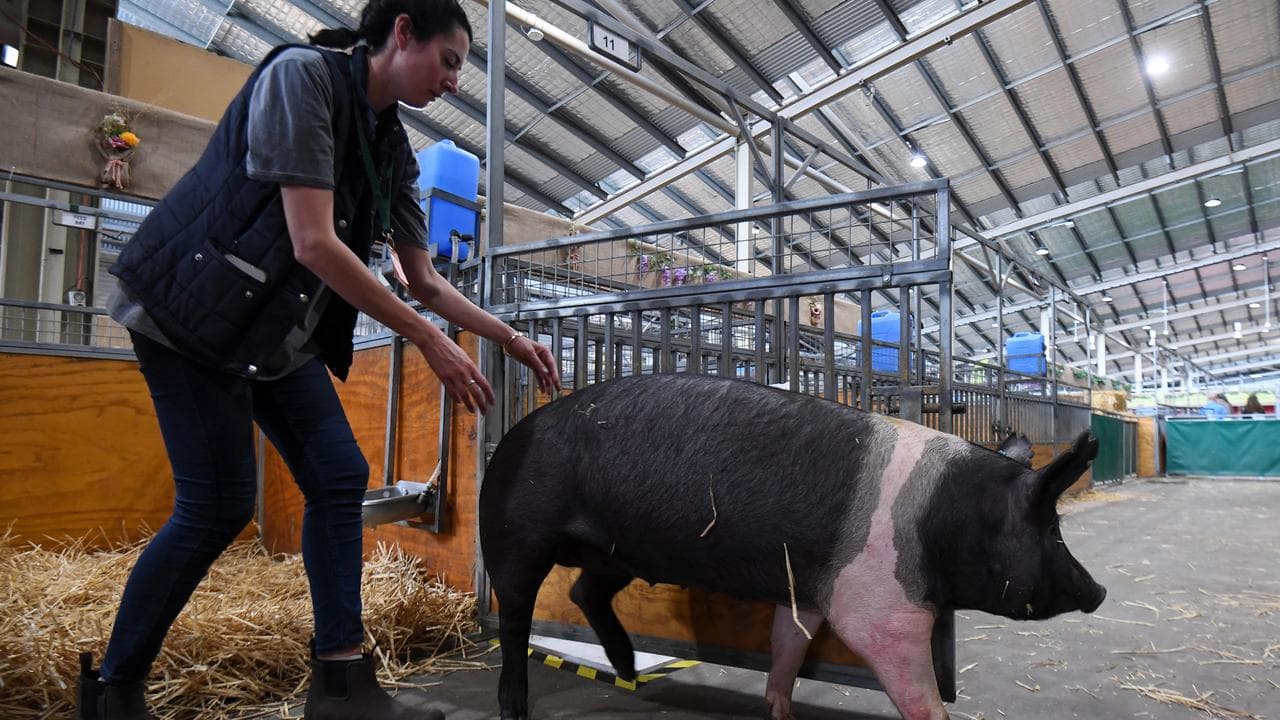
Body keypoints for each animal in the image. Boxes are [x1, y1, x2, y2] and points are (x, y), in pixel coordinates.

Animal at [478, 374, 1105, 720]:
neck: (948, 520)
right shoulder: (880, 607)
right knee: (514, 617)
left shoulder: (805, 587)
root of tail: (509, 435)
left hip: (616, 550)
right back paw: (513, 707)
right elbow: (915, 689)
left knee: (584, 590)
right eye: (1051, 527)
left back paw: (629, 667)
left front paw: (779, 711)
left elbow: (787, 646)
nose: (1098, 590)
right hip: (515, 536)